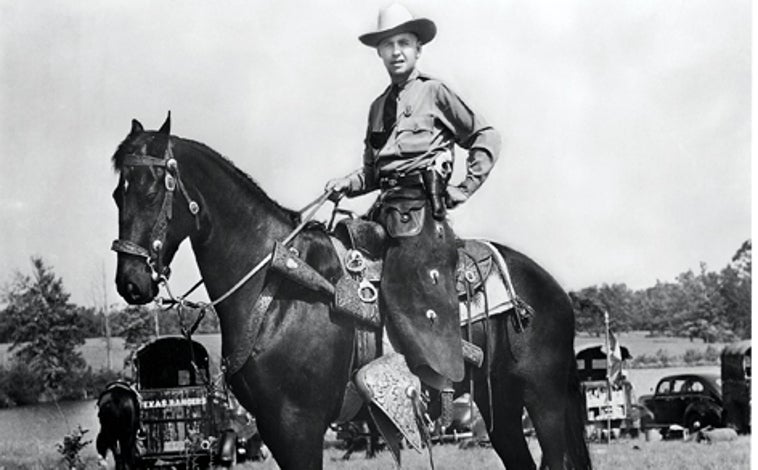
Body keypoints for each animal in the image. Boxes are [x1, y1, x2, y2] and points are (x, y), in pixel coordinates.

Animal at [111, 114, 592, 470]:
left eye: (151, 190)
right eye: (118, 192)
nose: (131, 282)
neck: (273, 288)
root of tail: (552, 289)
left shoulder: (297, 426)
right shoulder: (271, 428)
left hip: (544, 401)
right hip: (501, 407)